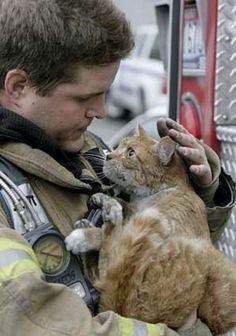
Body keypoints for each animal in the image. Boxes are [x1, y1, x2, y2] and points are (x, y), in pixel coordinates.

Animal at [65, 125, 236, 334]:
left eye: (131, 153)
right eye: (120, 146)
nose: (108, 156)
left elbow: (119, 240)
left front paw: (90, 233)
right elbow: (124, 210)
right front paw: (104, 199)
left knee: (111, 271)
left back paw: (88, 229)